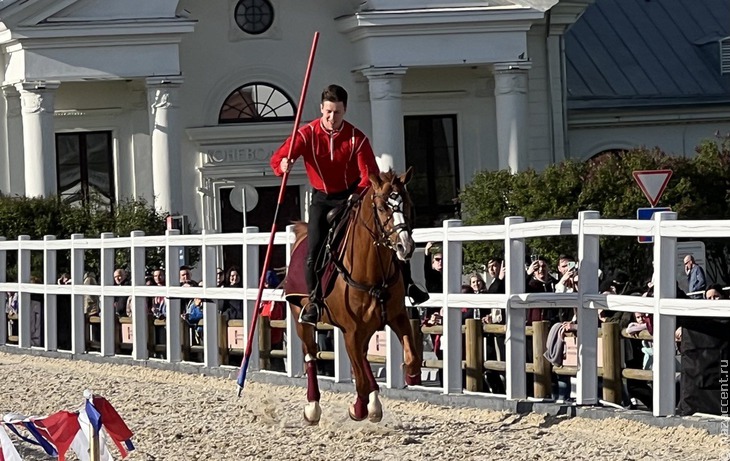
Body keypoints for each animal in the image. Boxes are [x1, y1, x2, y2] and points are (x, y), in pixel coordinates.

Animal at [284, 167, 420, 422]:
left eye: (407, 203)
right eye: (381, 207)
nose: (405, 246)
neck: (372, 272)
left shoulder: (397, 318)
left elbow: (412, 358)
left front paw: (409, 376)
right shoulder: (352, 330)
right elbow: (360, 380)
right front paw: (358, 408)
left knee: (362, 359)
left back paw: (375, 402)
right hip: (301, 318)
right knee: (311, 355)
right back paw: (313, 406)